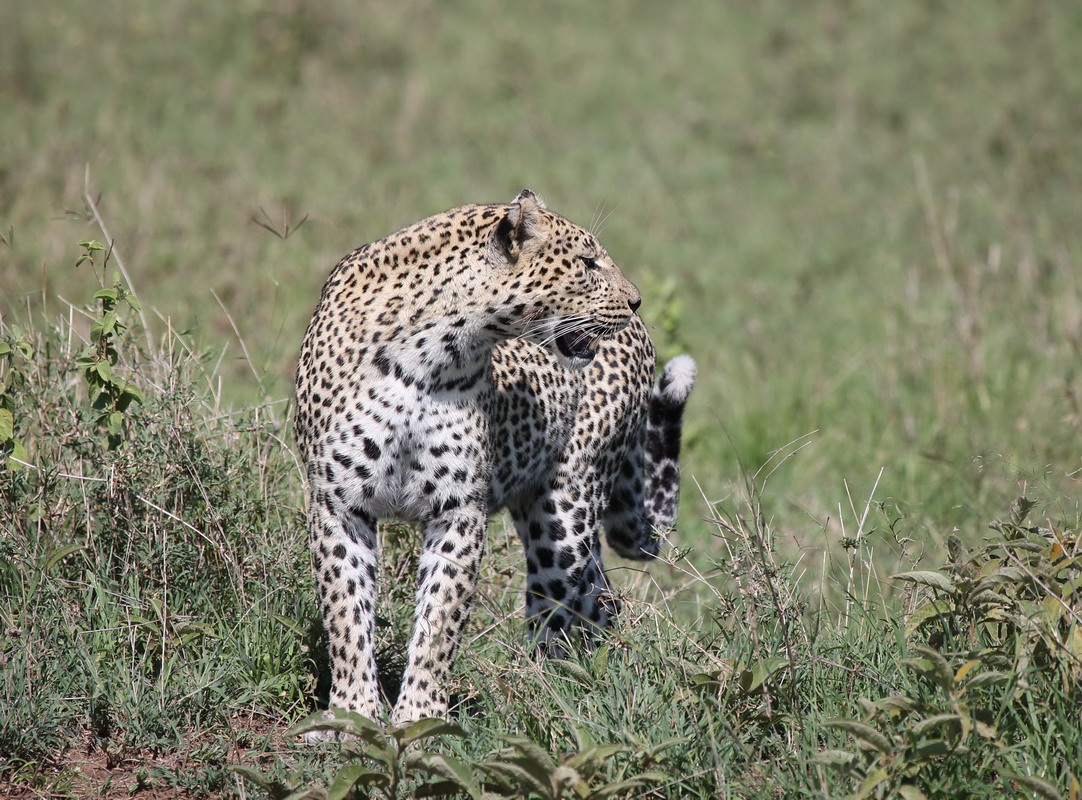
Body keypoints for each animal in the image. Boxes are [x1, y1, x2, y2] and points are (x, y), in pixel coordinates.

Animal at [293, 189, 695, 729]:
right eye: (587, 263)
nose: (635, 301)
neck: (430, 354)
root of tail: (644, 336)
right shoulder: (339, 503)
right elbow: (346, 613)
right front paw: (353, 715)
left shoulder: (458, 510)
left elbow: (440, 620)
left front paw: (419, 719)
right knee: (600, 598)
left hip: (564, 514)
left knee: (561, 609)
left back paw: (543, 691)